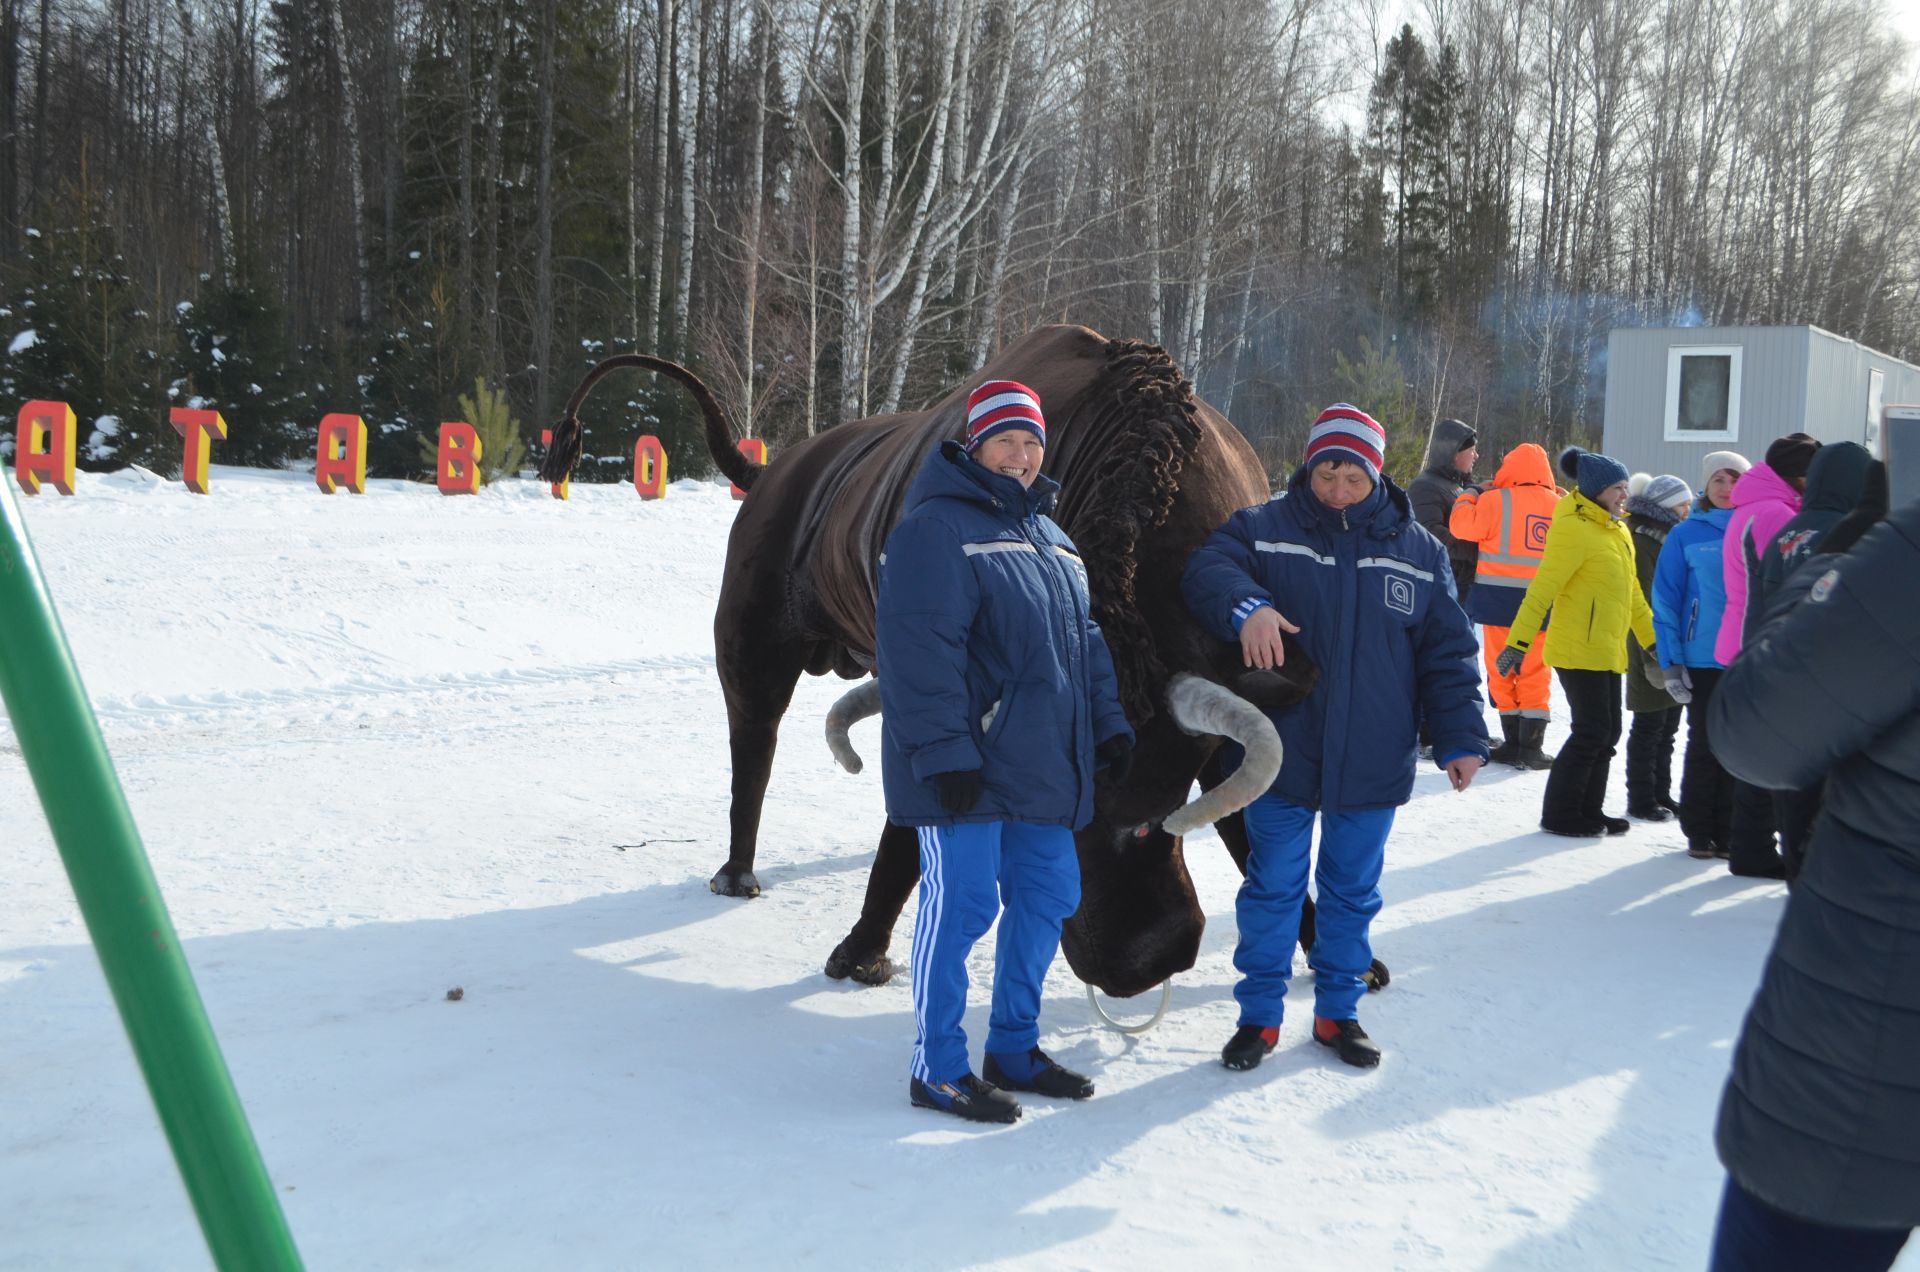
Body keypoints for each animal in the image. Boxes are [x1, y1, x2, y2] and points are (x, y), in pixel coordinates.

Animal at [537, 324, 1351, 999]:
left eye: (1176, 786)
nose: (1155, 955)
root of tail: (768, 470)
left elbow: (1251, 835)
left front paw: (1329, 951)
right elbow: (905, 835)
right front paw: (862, 953)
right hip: (749, 644)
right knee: (752, 754)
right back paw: (737, 874)